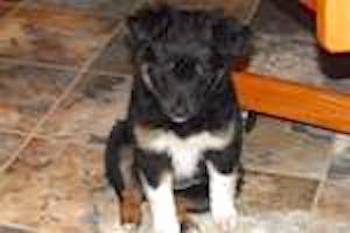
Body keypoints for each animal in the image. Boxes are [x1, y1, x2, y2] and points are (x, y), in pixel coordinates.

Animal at [105, 5, 250, 233]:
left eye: (202, 72)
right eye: (165, 69)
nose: (179, 111)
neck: (184, 127)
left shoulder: (222, 148)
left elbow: (222, 185)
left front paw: (225, 217)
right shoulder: (152, 153)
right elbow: (161, 199)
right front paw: (166, 226)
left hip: (220, 179)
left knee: (183, 199)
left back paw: (187, 222)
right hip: (120, 142)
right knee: (130, 189)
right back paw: (130, 218)